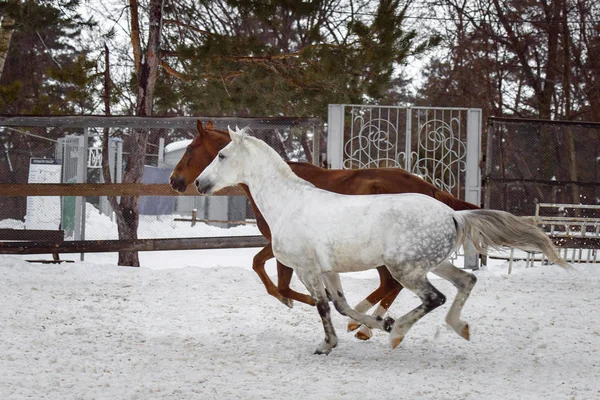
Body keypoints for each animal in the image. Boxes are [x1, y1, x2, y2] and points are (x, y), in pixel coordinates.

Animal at [169, 120, 478, 340]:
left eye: (190, 150)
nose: (177, 181)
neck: (286, 194)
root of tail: (433, 192)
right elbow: (266, 271)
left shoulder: (287, 252)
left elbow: (275, 279)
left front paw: (294, 301)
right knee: (404, 284)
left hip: (395, 260)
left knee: (394, 284)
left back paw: (366, 324)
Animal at [196, 126, 572, 354]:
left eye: (221, 155)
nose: (198, 183)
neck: (289, 203)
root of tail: (452, 214)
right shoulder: (328, 270)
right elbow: (341, 304)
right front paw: (372, 323)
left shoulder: (307, 269)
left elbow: (322, 305)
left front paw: (329, 343)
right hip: (431, 264)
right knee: (467, 281)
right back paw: (455, 327)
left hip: (405, 268)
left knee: (434, 297)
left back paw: (399, 332)